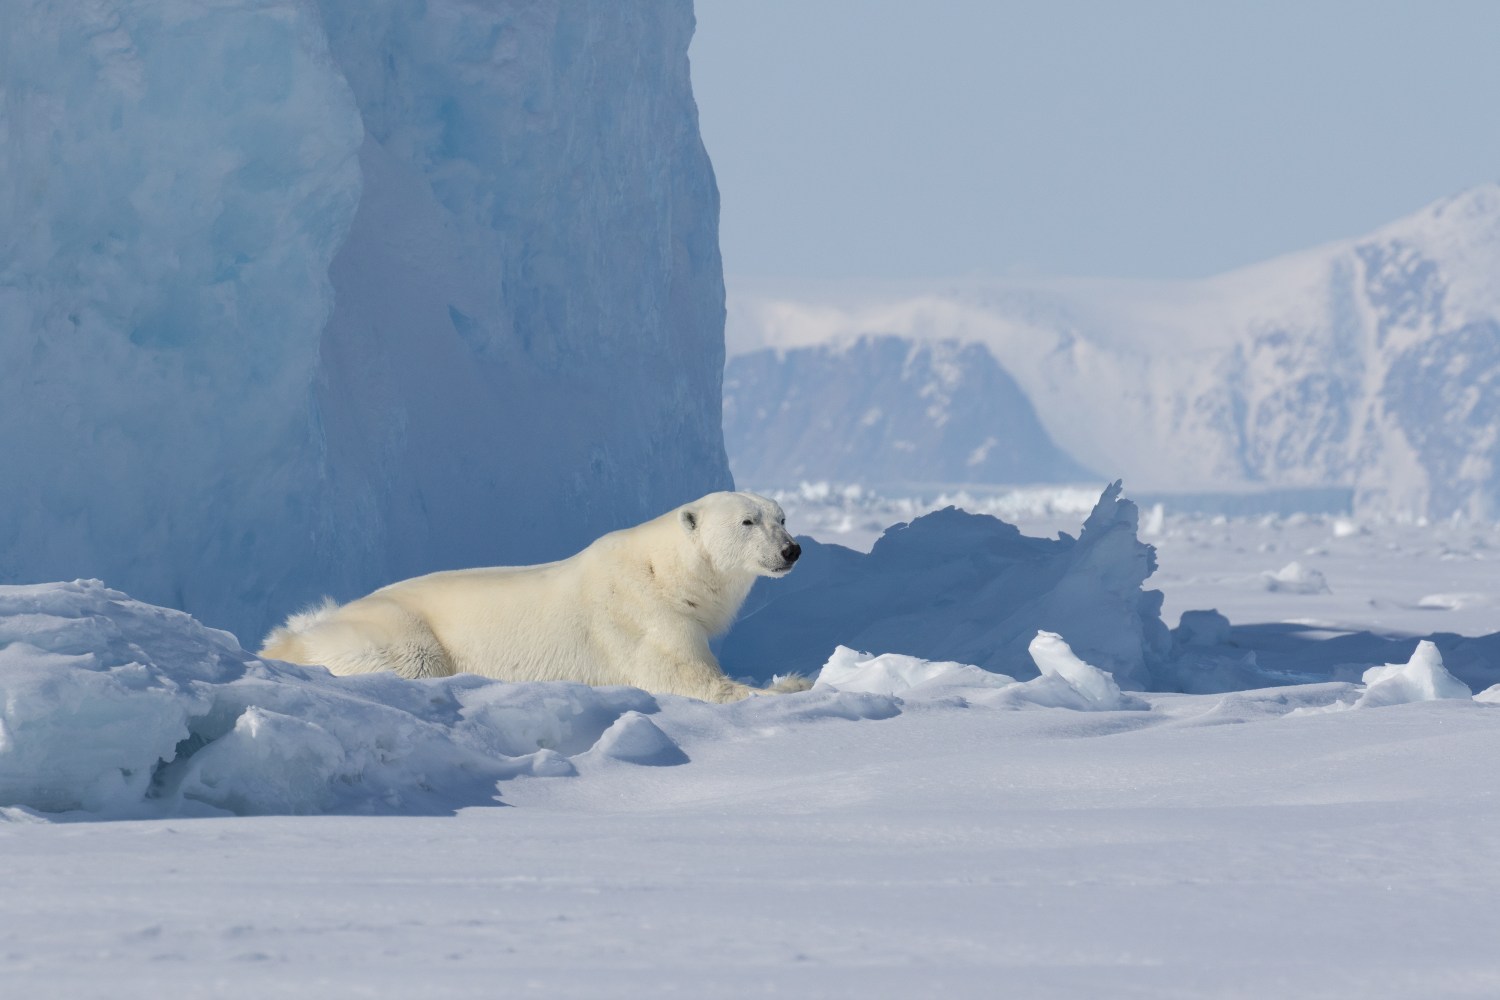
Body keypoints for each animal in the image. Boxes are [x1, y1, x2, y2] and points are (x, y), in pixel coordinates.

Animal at [259, 491, 811, 703]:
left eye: (782, 517)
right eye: (748, 521)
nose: (792, 550)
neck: (667, 575)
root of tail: (291, 640)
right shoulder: (643, 617)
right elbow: (690, 680)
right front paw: (796, 683)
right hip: (398, 634)